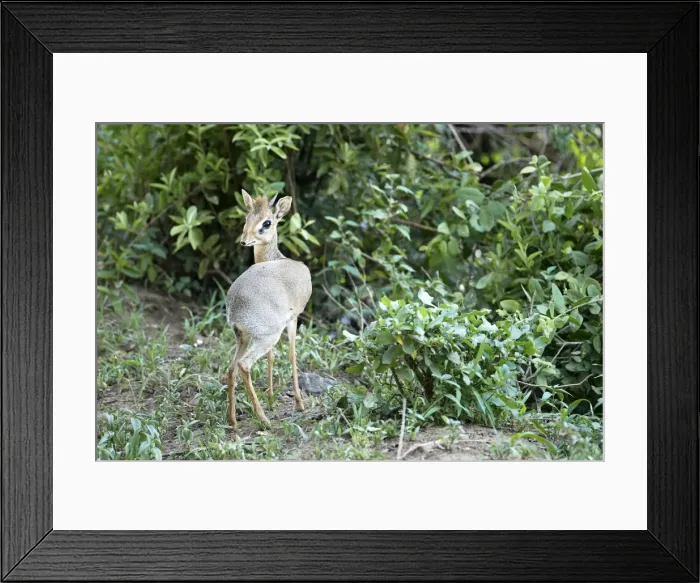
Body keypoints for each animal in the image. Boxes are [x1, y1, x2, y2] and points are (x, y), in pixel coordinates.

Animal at [224, 190, 312, 428]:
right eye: (247, 217)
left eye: (267, 222)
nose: (244, 241)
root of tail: (234, 305)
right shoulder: (293, 319)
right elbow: (292, 354)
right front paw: (299, 403)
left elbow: (273, 357)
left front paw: (272, 397)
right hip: (266, 336)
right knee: (244, 365)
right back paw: (263, 419)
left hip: (244, 337)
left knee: (231, 369)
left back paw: (233, 420)